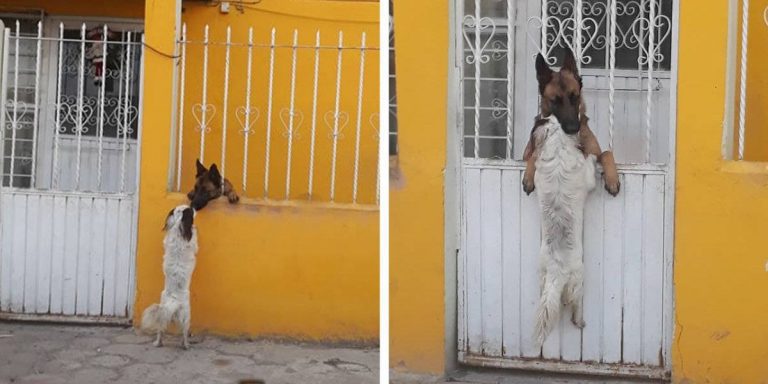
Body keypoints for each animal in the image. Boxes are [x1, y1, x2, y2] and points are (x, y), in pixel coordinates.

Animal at [140, 206, 198, 350]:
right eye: (190, 211)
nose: (194, 207)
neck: (178, 227)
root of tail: (173, 302)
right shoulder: (192, 242)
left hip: (162, 314)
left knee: (160, 330)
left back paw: (158, 343)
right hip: (186, 316)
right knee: (184, 333)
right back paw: (186, 345)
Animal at [532, 115, 596, 346]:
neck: (557, 148)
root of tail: (556, 272)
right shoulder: (588, 179)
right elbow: (590, 164)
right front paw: (593, 155)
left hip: (543, 275)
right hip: (579, 278)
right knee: (574, 304)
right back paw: (579, 321)